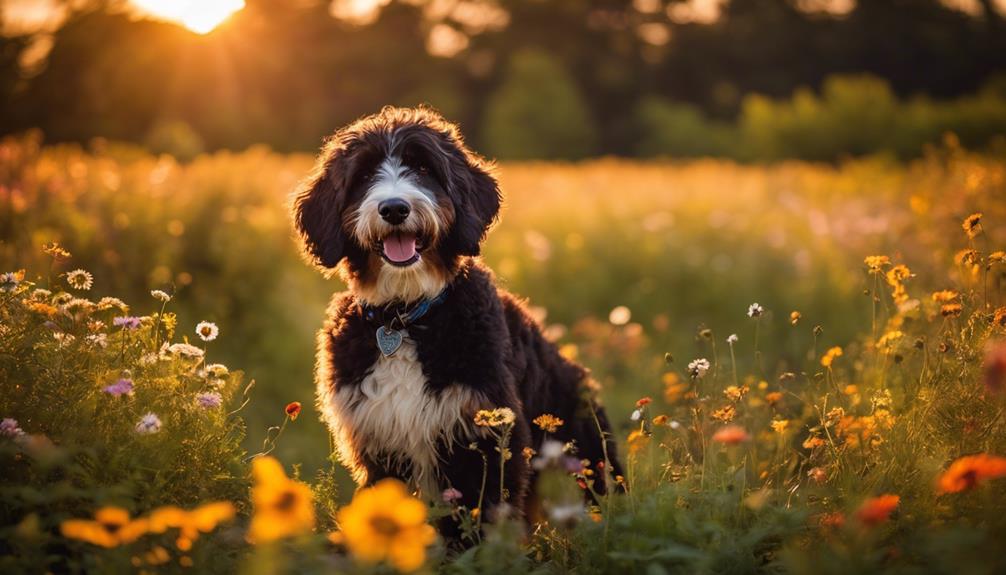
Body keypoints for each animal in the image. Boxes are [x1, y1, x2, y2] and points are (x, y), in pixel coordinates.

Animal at [289, 105, 619, 526]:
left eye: (424, 168)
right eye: (362, 175)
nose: (394, 208)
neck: (404, 317)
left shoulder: (486, 439)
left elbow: (481, 519)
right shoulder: (379, 442)